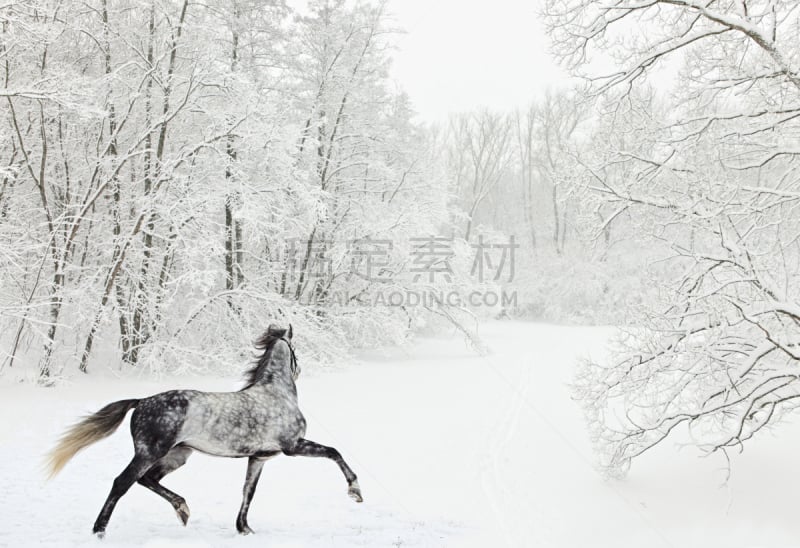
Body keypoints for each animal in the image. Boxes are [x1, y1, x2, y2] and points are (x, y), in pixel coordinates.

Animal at [45, 326, 364, 536]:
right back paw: (99, 531)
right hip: (150, 452)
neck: (276, 394)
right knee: (122, 482)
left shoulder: (259, 457)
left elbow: (248, 491)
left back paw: (183, 511)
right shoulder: (293, 446)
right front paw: (355, 492)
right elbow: (334, 452)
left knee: (147, 480)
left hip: (177, 456)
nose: (299, 369)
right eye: (295, 352)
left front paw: (244, 529)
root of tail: (141, 401)